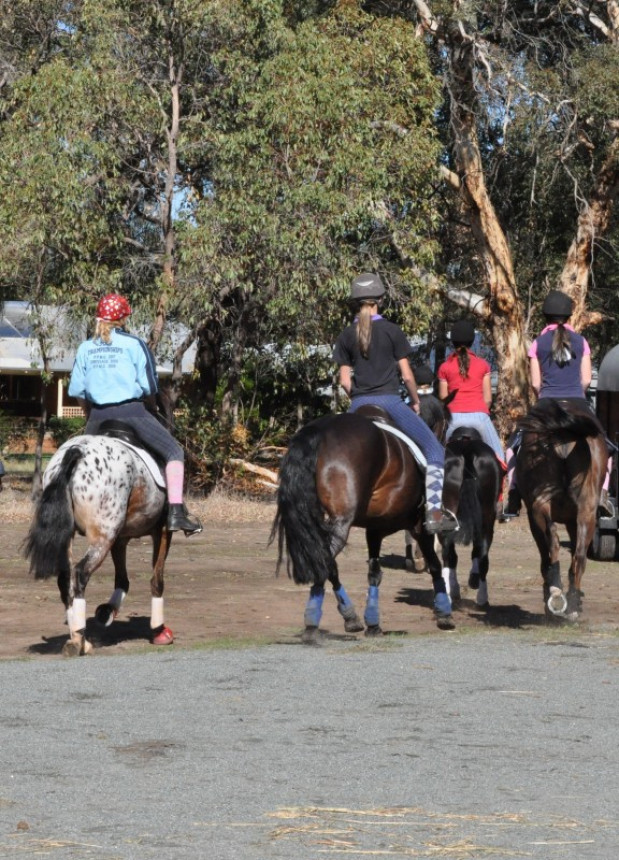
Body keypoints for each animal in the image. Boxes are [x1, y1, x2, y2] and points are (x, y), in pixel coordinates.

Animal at [23, 426, 173, 656]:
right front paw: (159, 631)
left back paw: (78, 638)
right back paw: (78, 640)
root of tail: (75, 452)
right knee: (80, 573)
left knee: (65, 578)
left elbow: (122, 580)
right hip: (102, 537)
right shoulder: (162, 531)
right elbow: (157, 580)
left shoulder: (120, 538)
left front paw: (107, 611)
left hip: (74, 536)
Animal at [516, 400, 608, 620]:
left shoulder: (534, 519)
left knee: (553, 540)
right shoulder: (574, 520)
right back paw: (572, 601)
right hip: (586, 513)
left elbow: (546, 556)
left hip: (540, 507)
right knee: (579, 555)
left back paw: (556, 591)